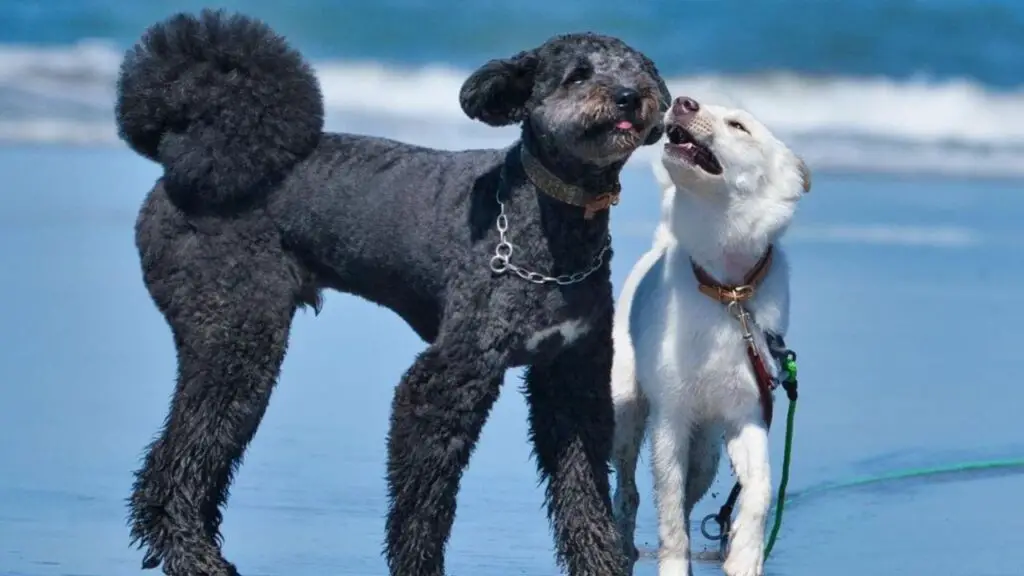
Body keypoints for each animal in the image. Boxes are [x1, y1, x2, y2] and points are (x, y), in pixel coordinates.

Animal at [117, 8, 671, 573]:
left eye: (639, 68)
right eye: (578, 74)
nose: (630, 96)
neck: (547, 222)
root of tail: (179, 160)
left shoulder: (572, 376)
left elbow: (582, 489)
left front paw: (600, 561)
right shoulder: (452, 373)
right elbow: (423, 501)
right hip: (235, 332)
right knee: (179, 459)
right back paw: (192, 553)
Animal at [610, 95, 811, 573]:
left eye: (738, 126)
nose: (683, 101)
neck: (727, 290)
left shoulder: (748, 415)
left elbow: (759, 490)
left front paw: (744, 554)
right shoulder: (670, 419)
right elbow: (667, 509)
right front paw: (672, 564)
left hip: (706, 452)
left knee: (687, 497)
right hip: (627, 413)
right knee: (628, 487)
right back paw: (622, 542)